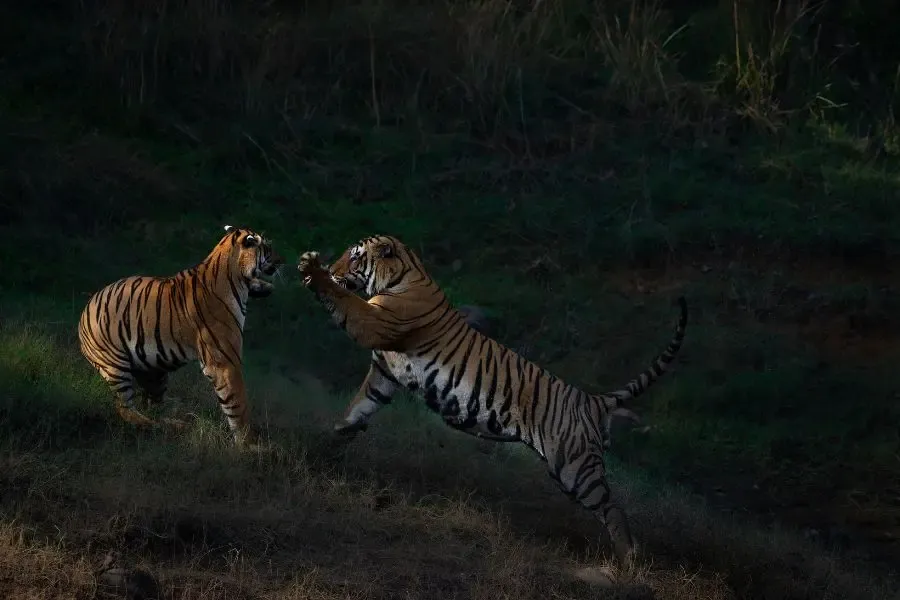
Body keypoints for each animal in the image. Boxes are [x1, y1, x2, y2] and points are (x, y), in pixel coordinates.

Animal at [78, 225, 284, 447]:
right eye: (268, 248)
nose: (282, 260)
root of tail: (87, 307)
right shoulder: (225, 362)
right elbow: (238, 403)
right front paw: (250, 444)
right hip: (115, 366)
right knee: (124, 409)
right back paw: (157, 427)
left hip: (154, 372)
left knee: (153, 407)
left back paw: (178, 424)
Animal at [297, 235, 687, 569]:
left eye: (355, 256)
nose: (334, 266)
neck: (400, 275)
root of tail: (591, 400)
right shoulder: (385, 371)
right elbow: (361, 404)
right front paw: (337, 434)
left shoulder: (374, 322)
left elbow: (344, 301)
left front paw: (313, 269)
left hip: (574, 468)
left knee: (612, 508)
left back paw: (628, 560)